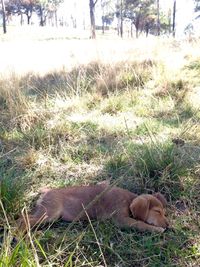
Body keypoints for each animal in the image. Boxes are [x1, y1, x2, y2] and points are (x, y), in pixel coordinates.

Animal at [18, 183, 170, 233]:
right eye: (157, 212)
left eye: (165, 213)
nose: (169, 225)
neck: (129, 200)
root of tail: (45, 191)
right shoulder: (121, 220)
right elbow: (139, 223)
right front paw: (156, 229)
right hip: (50, 213)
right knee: (23, 219)